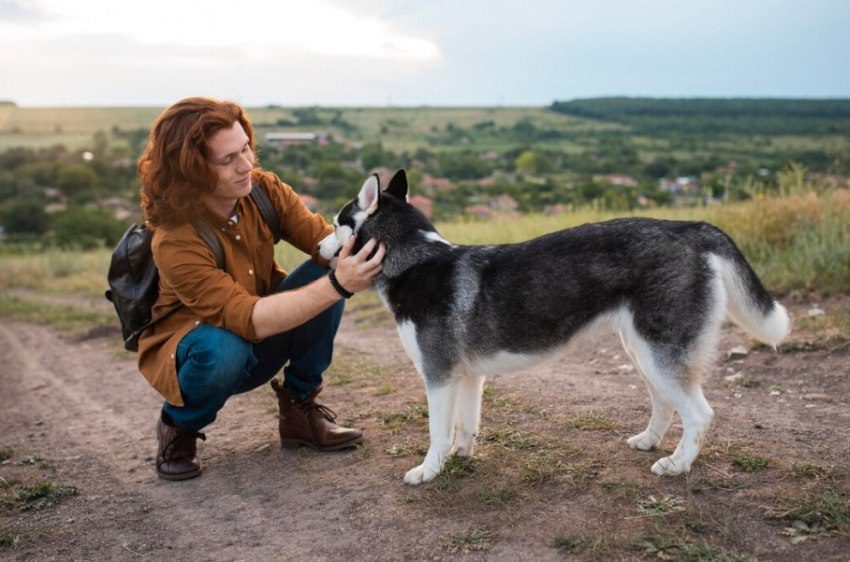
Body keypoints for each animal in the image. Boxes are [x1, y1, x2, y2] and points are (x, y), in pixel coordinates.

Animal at [316, 168, 788, 484]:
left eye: (337, 223)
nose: (318, 246)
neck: (416, 260)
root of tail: (690, 227)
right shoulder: (466, 377)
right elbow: (465, 425)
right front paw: (462, 454)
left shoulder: (438, 376)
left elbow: (436, 432)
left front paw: (429, 469)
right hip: (644, 352)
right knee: (667, 403)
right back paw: (650, 441)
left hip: (659, 353)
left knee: (700, 414)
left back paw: (677, 464)